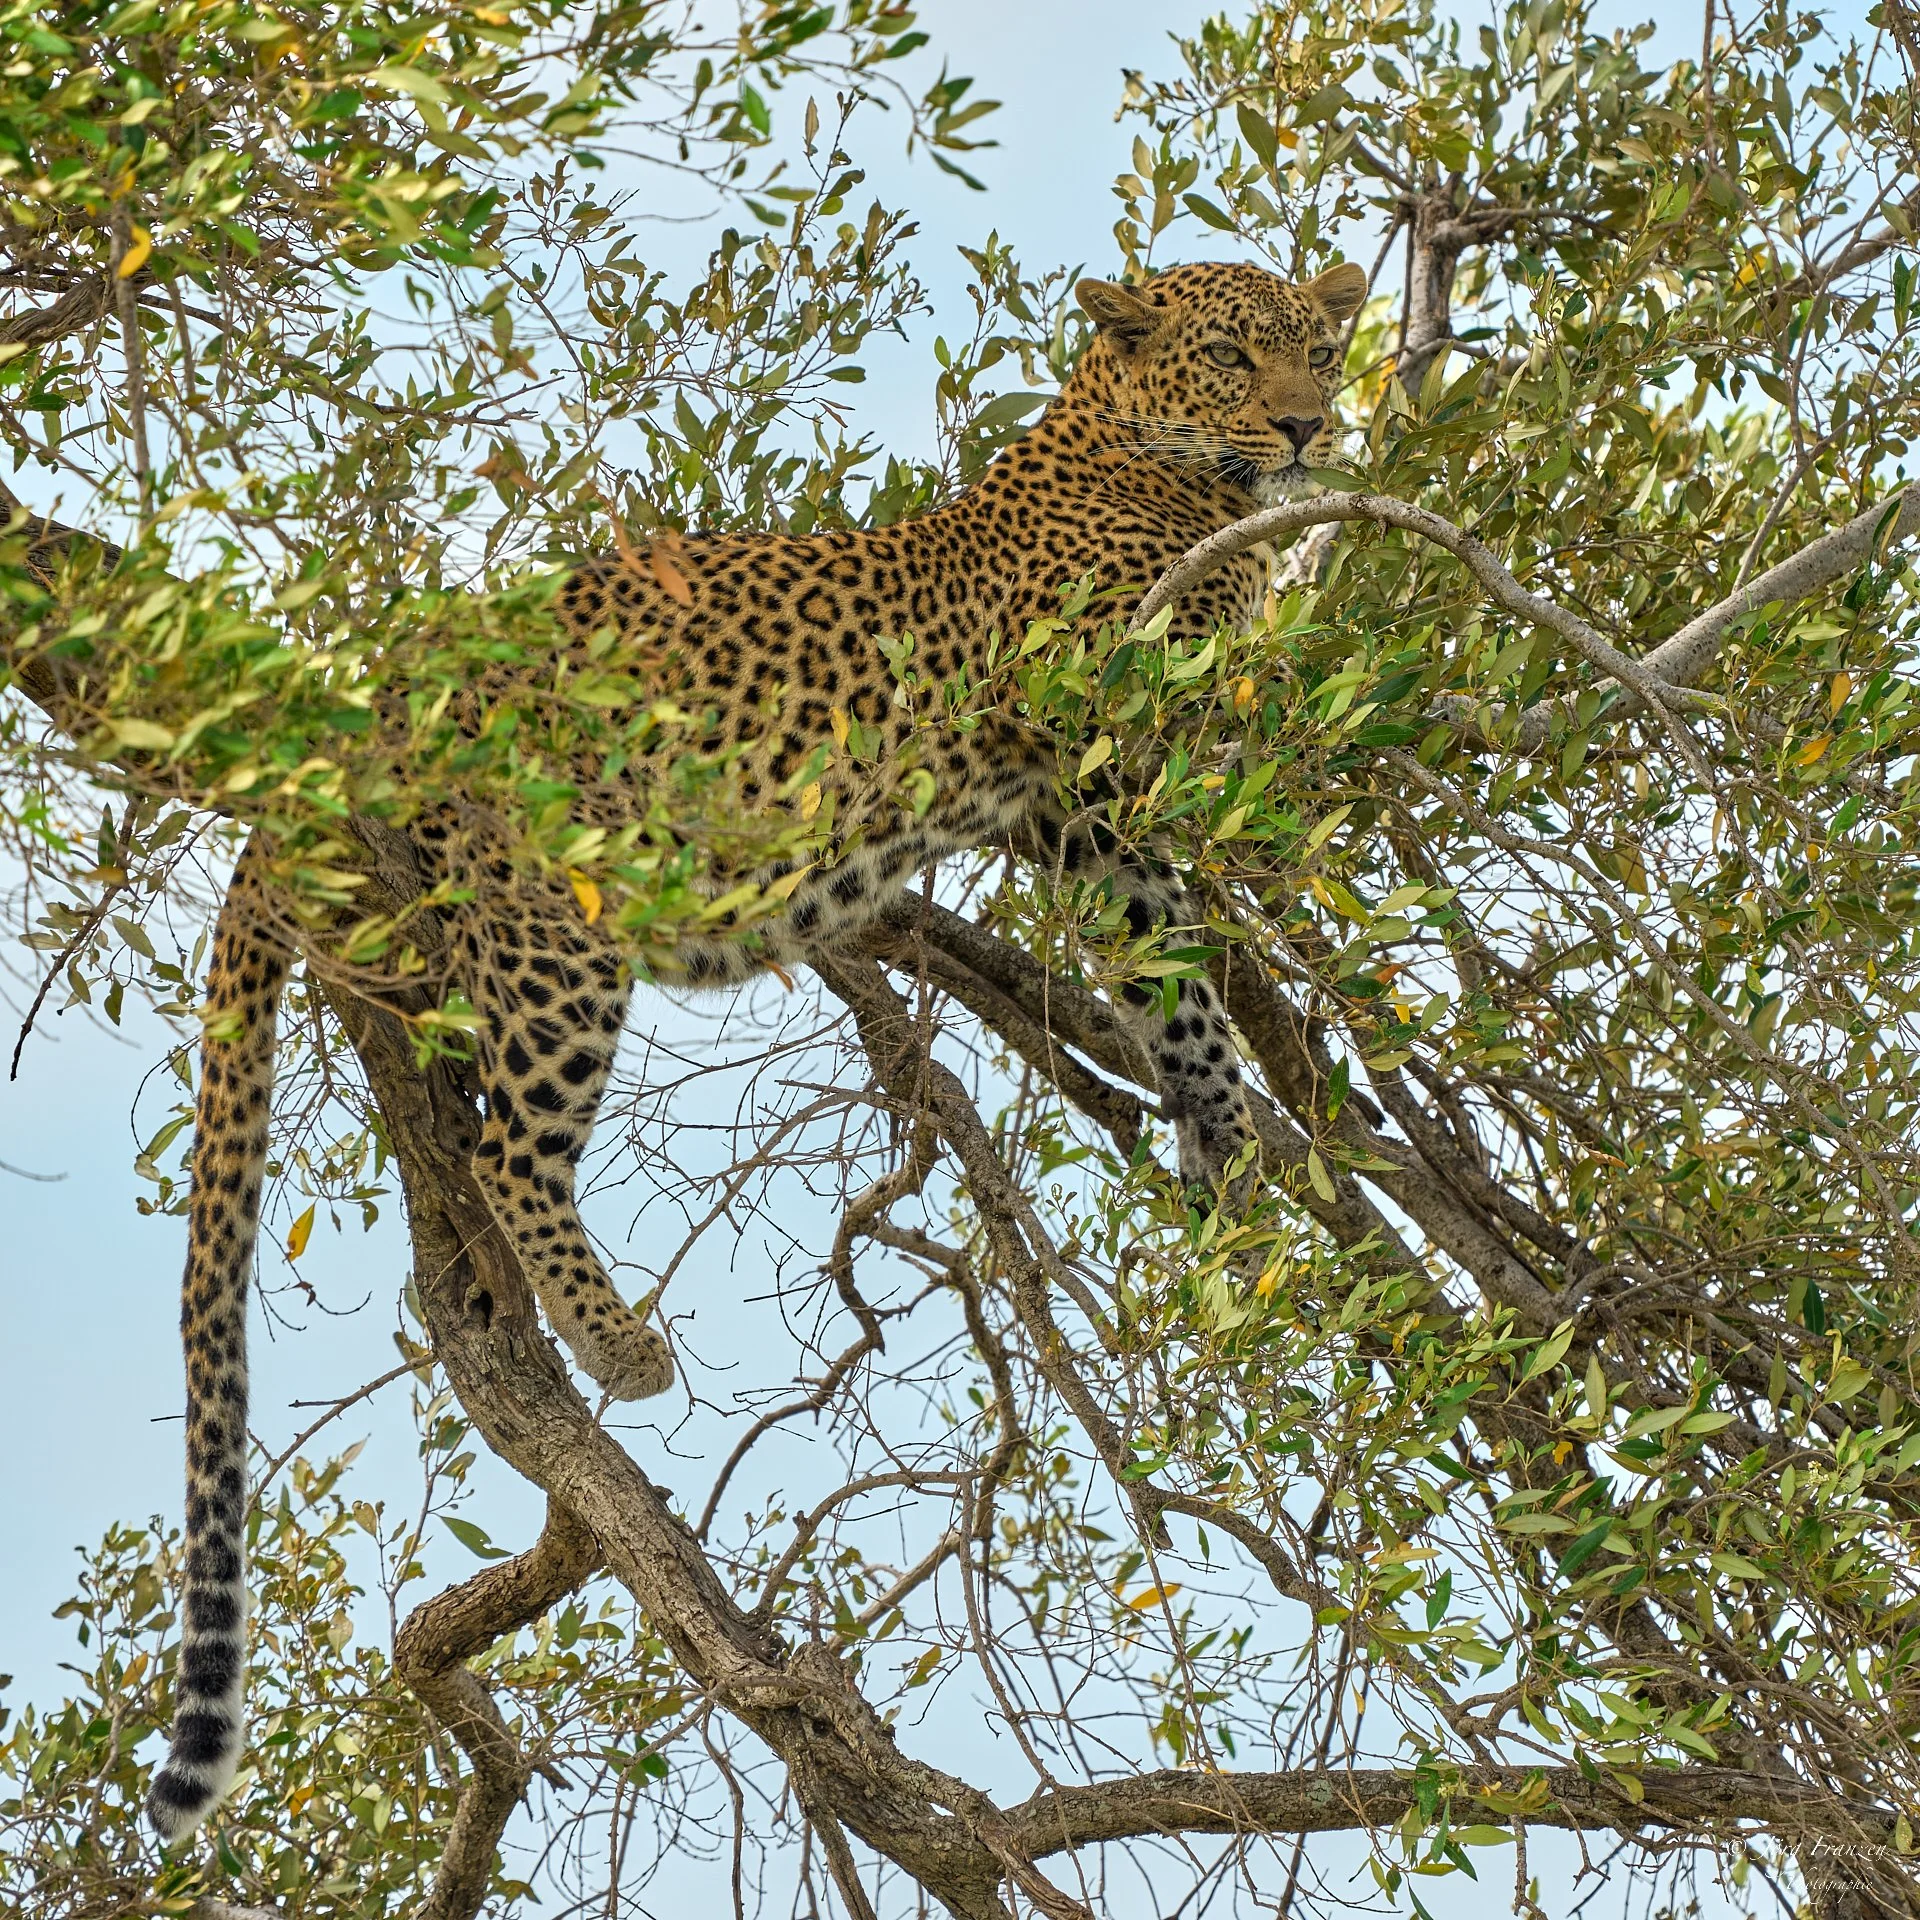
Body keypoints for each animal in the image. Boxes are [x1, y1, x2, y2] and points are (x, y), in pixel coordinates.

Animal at [145, 256, 1369, 1840]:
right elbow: (1182, 901)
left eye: (1320, 353)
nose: (1306, 429)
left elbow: (1172, 980)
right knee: (510, 1145)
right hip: (558, 924)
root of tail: (377, 687)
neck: (1152, 465)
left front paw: (1221, 1141)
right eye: (1231, 357)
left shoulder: (1076, 812)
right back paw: (616, 1346)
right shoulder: (1095, 739)